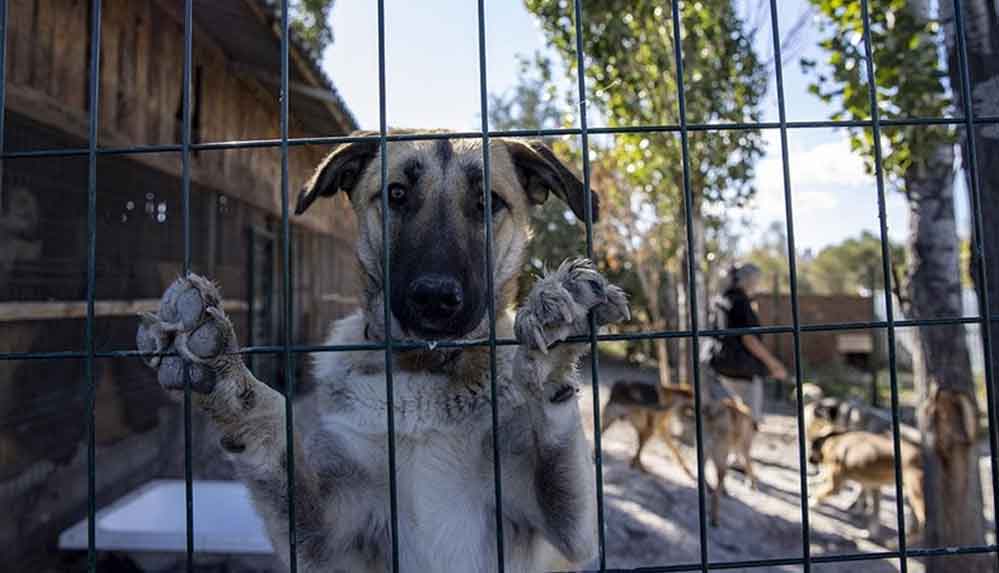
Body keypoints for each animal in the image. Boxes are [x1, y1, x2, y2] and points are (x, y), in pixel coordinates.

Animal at [137, 132, 628, 568]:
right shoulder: (323, 535)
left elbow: (557, 445)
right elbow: (274, 433)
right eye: (396, 194)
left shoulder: (571, 532)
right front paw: (223, 372)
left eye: (488, 201)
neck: (424, 367)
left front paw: (552, 343)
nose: (434, 297)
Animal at [600, 378, 756, 524]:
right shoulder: (655, 429)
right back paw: (715, 515)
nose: (705, 407)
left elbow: (666, 452)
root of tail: (619, 384)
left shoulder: (657, 431)